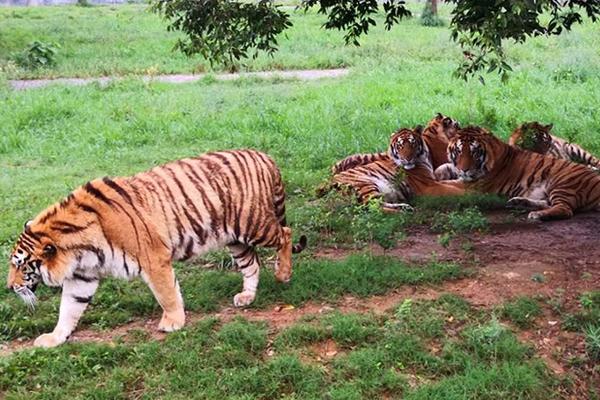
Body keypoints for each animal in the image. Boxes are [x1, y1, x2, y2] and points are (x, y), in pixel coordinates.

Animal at [8, 150, 310, 346]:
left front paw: (173, 322)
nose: (10, 287)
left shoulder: (154, 260)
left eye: (21, 265)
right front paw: (55, 338)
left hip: (253, 224)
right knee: (252, 264)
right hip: (234, 238)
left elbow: (167, 294)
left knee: (285, 234)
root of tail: (264, 155)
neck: (78, 252)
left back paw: (283, 273)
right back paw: (247, 296)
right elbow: (68, 309)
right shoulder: (82, 276)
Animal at [328, 126, 464, 211]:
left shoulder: (434, 178)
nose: (408, 158)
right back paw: (402, 211)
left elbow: (451, 181)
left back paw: (404, 207)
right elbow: (451, 189)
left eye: (413, 143)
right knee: (373, 207)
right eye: (400, 146)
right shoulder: (428, 186)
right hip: (365, 183)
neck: (424, 158)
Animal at [446, 126, 600, 220]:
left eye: (475, 152)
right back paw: (519, 203)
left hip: (563, 184)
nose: (464, 169)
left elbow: (446, 184)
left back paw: (537, 214)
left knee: (565, 209)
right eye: (459, 151)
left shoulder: (474, 186)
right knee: (548, 203)